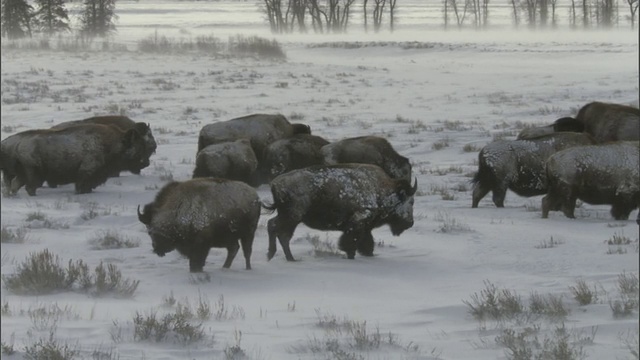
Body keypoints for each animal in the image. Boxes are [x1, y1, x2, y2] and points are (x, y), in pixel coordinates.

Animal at [5, 124, 150, 197]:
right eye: (139, 147)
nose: (146, 163)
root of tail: (17, 144)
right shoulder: (87, 172)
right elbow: (82, 185)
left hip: (22, 174)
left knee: (15, 185)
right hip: (33, 173)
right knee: (29, 186)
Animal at [262, 163, 418, 262]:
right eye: (410, 202)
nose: (410, 223)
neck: (380, 189)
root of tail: (275, 184)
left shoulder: (365, 227)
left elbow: (367, 243)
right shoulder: (358, 221)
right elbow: (351, 242)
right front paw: (350, 256)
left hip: (287, 216)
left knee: (274, 227)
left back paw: (277, 256)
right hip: (292, 217)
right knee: (281, 233)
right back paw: (286, 258)